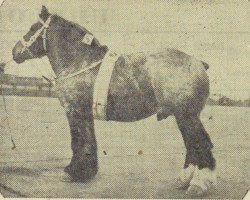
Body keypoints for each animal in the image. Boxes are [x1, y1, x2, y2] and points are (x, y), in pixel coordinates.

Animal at [11, 5, 216, 196]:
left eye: (32, 28)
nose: (15, 52)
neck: (80, 60)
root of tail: (199, 63)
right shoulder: (85, 113)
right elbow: (88, 140)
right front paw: (85, 172)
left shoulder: (74, 110)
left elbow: (78, 141)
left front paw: (73, 172)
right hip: (183, 117)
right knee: (192, 146)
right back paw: (183, 181)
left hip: (187, 116)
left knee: (201, 144)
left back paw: (198, 185)